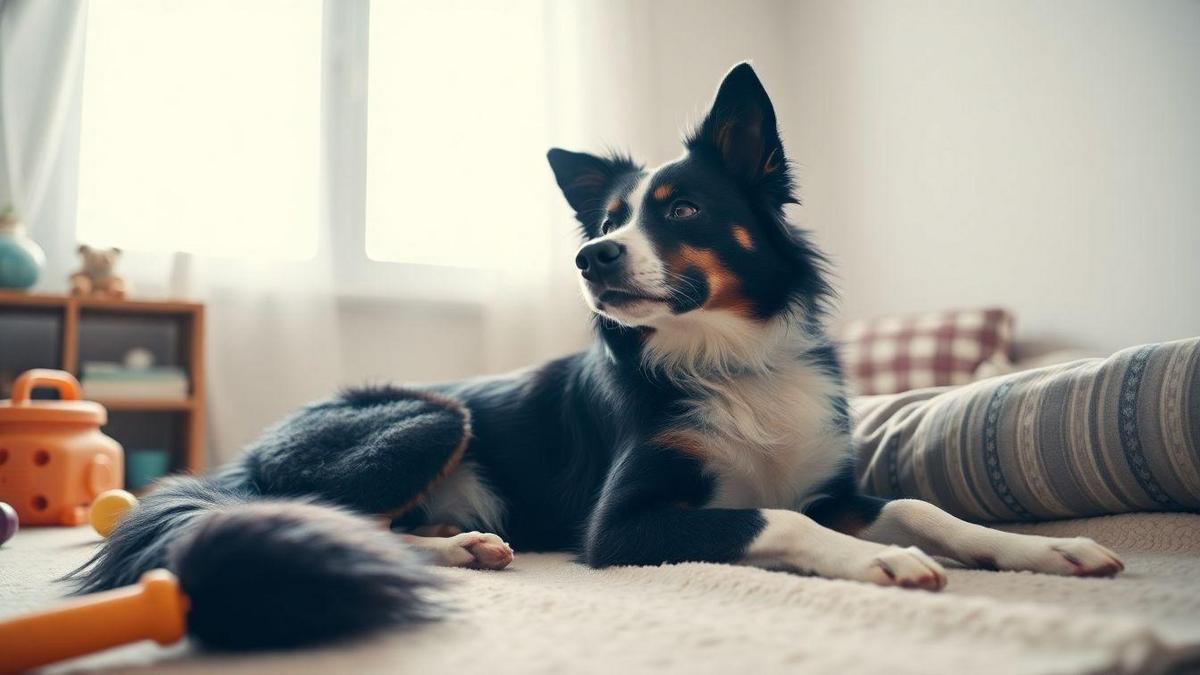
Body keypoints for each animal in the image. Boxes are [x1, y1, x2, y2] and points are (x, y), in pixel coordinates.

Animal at [72, 61, 1123, 648]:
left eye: (683, 209)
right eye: (610, 218)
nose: (593, 255)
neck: (725, 358)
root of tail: (246, 455)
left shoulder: (829, 479)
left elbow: (913, 503)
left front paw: (1045, 548)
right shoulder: (620, 527)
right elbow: (774, 520)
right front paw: (886, 565)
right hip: (429, 413)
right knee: (315, 514)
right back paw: (449, 545)